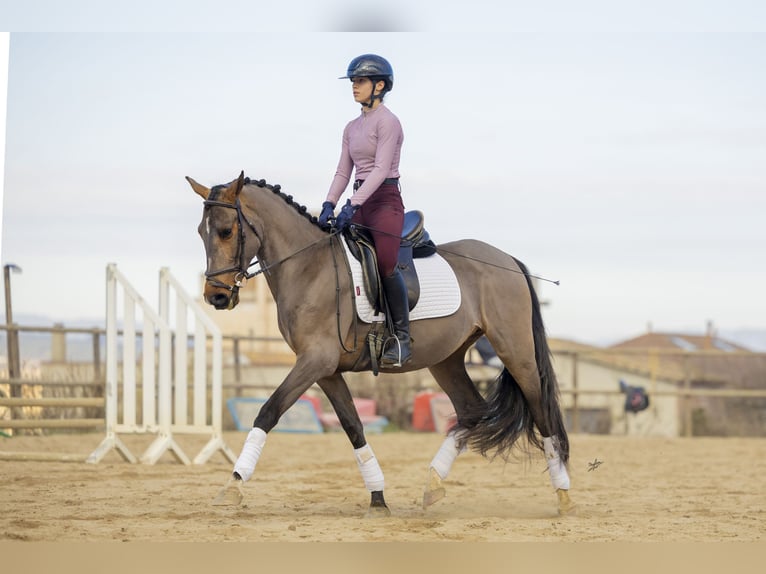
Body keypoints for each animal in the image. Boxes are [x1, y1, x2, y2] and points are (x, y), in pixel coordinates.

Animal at [187, 172, 575, 516]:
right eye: (201, 233)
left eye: (226, 231)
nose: (216, 297)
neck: (309, 266)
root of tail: (507, 260)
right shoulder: (325, 370)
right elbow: (353, 426)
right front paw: (377, 497)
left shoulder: (315, 361)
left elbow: (268, 411)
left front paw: (234, 484)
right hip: (446, 359)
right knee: (472, 411)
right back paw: (433, 484)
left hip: (515, 351)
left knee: (542, 411)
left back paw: (563, 494)